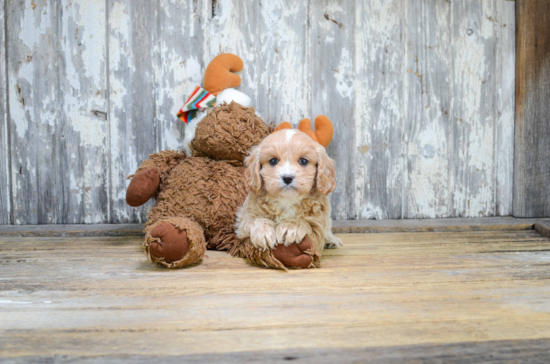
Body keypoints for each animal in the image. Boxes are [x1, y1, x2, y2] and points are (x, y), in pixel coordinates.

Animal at [235, 127, 342, 256]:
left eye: (303, 161)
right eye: (273, 161)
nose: (287, 177)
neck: (287, 200)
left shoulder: (318, 228)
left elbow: (307, 224)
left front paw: (291, 227)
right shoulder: (242, 222)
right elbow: (255, 220)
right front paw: (263, 232)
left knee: (327, 232)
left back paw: (331, 240)